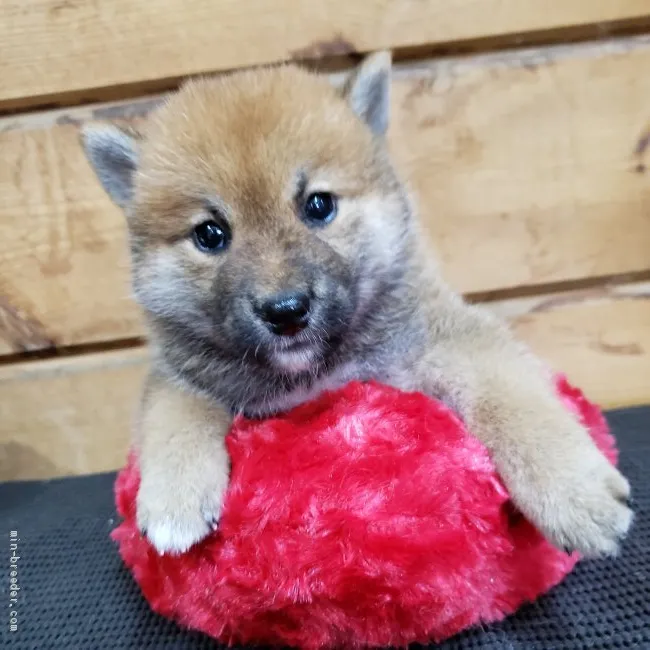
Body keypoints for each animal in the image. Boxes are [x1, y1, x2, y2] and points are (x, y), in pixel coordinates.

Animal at [81, 53, 628, 556]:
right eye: (211, 234)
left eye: (318, 205)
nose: (285, 310)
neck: (314, 373)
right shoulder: (179, 371)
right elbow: (175, 412)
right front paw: (174, 495)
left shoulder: (450, 340)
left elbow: (515, 401)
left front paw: (573, 492)